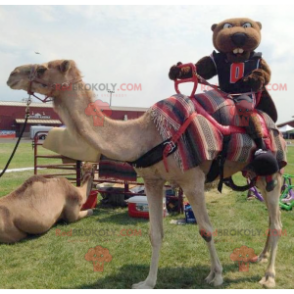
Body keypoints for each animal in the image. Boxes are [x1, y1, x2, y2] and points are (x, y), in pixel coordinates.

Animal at [5, 58, 284, 288]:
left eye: (43, 68)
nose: (11, 74)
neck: (147, 136)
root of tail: (274, 127)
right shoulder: (152, 181)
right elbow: (155, 234)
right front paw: (147, 282)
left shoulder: (192, 180)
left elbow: (206, 229)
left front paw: (216, 276)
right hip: (253, 174)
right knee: (270, 218)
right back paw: (259, 257)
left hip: (274, 173)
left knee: (277, 222)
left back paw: (269, 276)